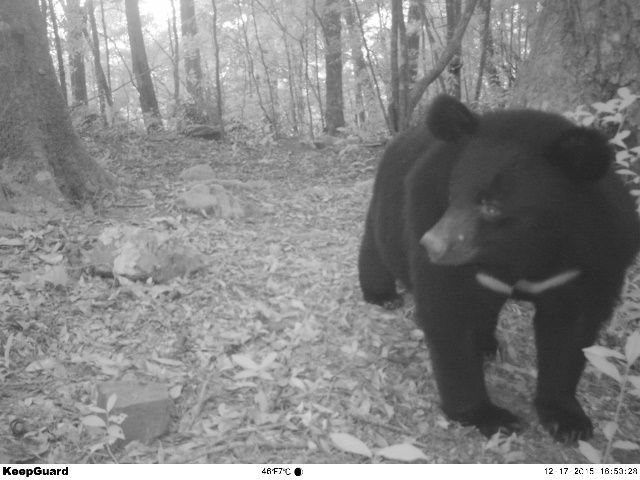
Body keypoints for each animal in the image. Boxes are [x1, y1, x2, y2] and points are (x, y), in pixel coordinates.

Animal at [358, 94, 640, 442]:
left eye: (492, 207)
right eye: (453, 195)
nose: (432, 245)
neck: (526, 249)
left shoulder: (593, 258)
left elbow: (571, 332)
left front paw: (569, 421)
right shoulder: (430, 210)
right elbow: (448, 311)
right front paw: (490, 416)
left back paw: (487, 345)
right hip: (386, 200)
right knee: (376, 246)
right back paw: (382, 295)